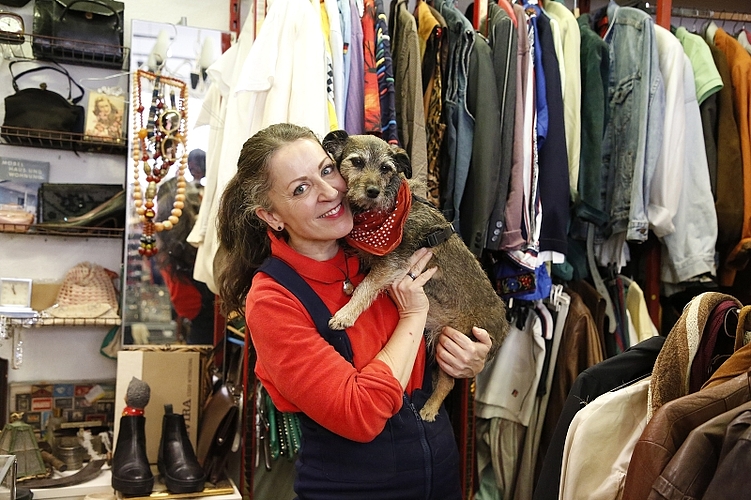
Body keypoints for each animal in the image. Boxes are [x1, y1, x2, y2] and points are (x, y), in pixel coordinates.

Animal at [324, 131, 512, 420]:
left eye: (386, 169)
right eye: (356, 162)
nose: (373, 191)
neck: (381, 213)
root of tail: (503, 329)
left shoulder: (392, 263)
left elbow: (366, 287)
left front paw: (346, 314)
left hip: (455, 340)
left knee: (447, 382)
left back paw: (430, 409)